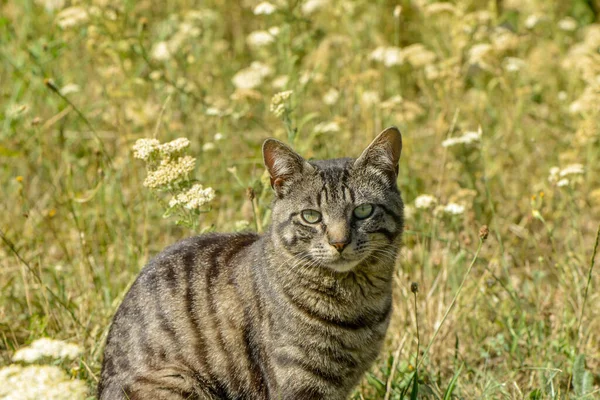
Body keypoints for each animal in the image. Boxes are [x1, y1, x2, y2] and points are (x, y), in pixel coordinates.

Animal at [99, 126, 404, 398]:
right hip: (179, 380)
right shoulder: (299, 384)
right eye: (311, 216)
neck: (355, 303)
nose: (339, 242)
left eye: (363, 211)